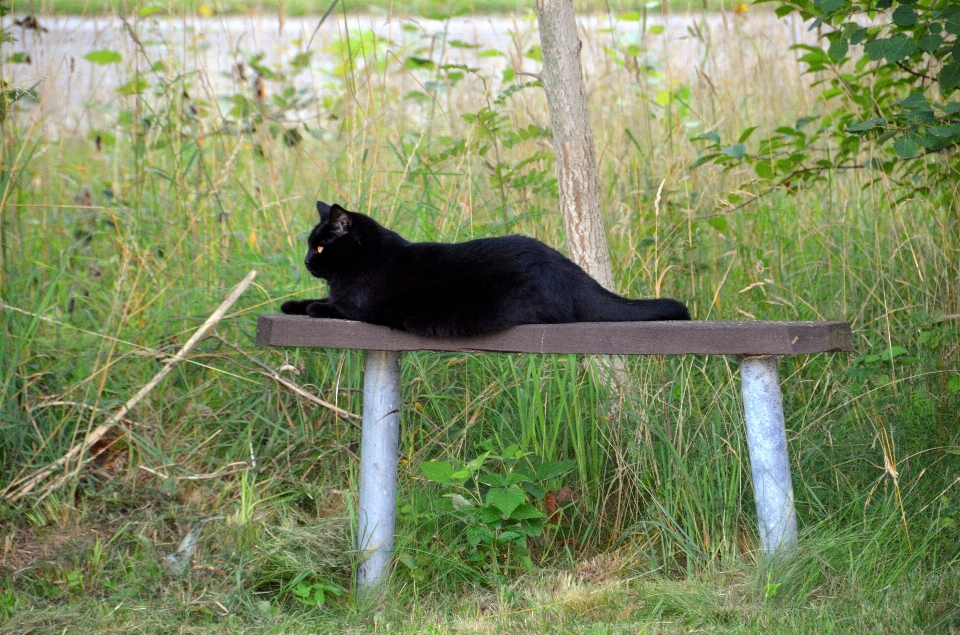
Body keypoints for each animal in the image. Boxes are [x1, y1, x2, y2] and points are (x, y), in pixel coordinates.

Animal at [280, 202, 688, 338]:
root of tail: (564, 265)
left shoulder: (358, 307)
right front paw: (290, 304)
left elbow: (327, 305)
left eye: (320, 247)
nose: (307, 261)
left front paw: (311, 306)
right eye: (309, 246)